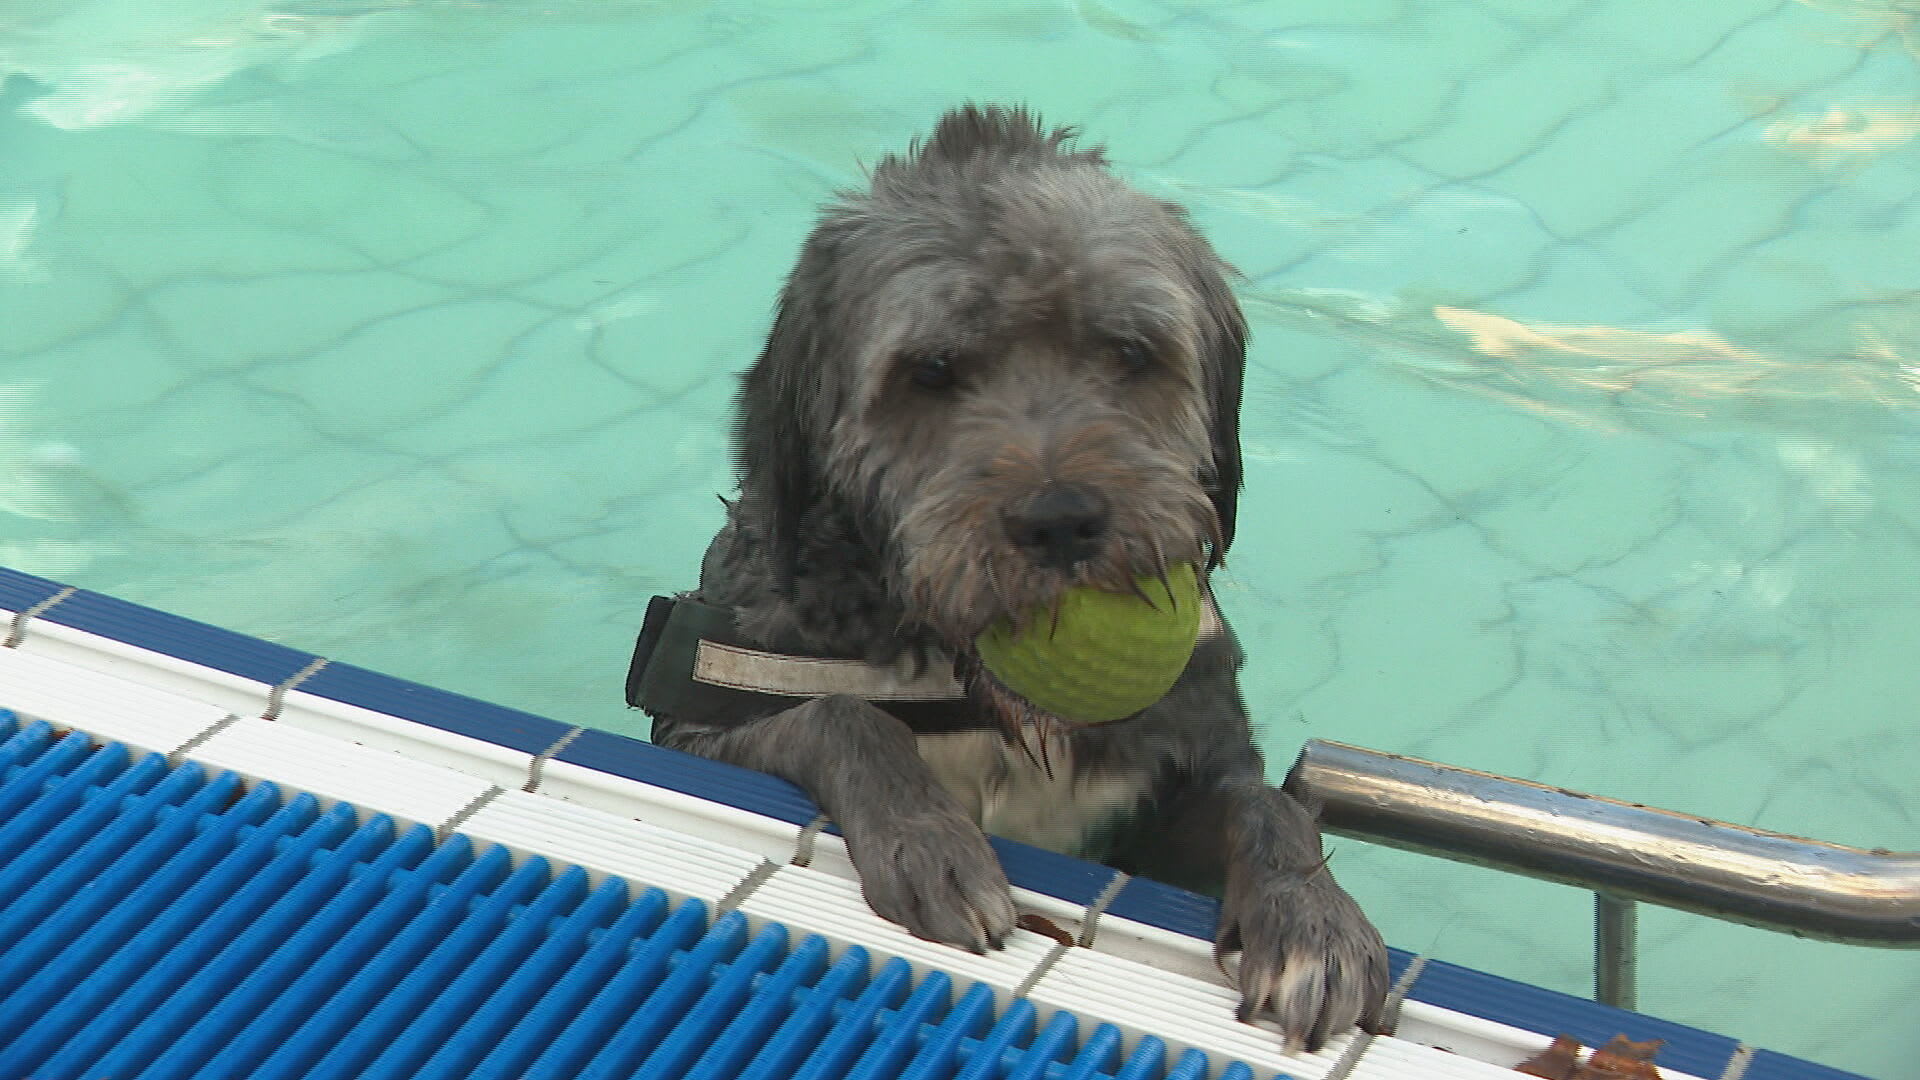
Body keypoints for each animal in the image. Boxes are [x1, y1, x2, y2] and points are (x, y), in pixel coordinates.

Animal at [637, 105, 1390, 1045]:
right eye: (929, 370)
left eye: (1132, 351)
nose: (1061, 518)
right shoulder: (700, 727)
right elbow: (840, 715)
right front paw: (927, 836)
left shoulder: (1164, 802)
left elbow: (1268, 805)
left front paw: (1309, 917)